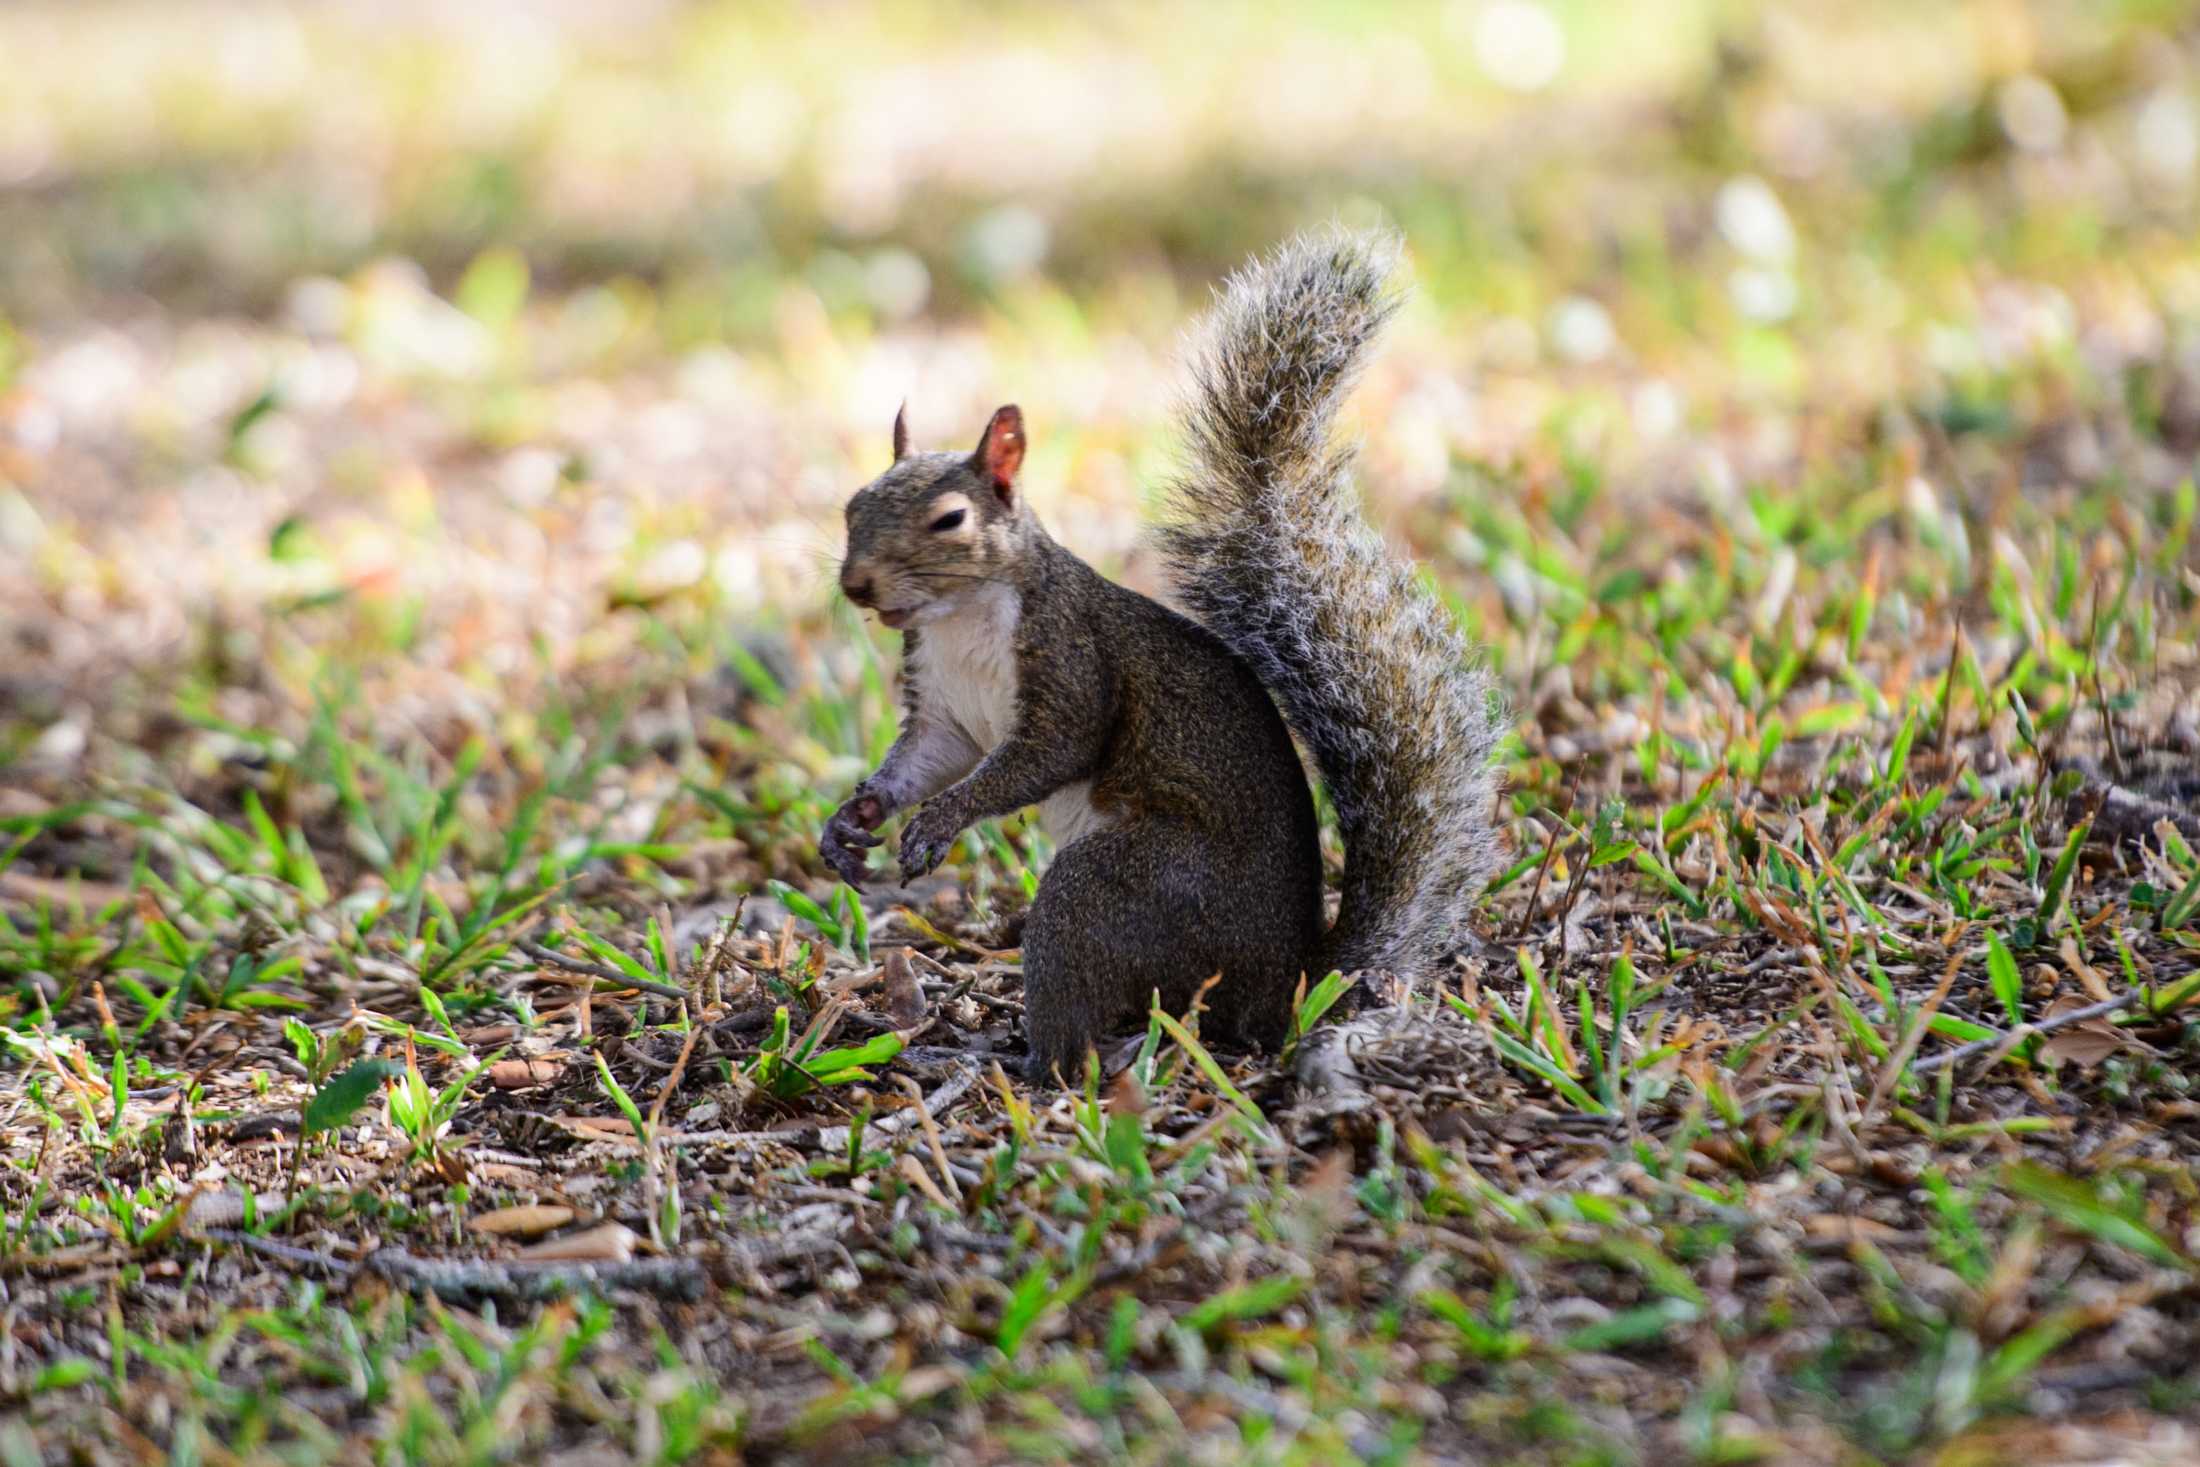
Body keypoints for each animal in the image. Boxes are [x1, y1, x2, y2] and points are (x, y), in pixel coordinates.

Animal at [818, 229, 1504, 1077]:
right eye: (853, 505)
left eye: (950, 519)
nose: (856, 582)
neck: (959, 619)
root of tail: (1284, 985)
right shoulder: (941, 704)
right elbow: (927, 757)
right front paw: (855, 818)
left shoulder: (1073, 655)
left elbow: (1050, 750)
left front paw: (939, 821)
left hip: (1130, 892)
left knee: (1077, 1006)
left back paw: (1023, 1059)